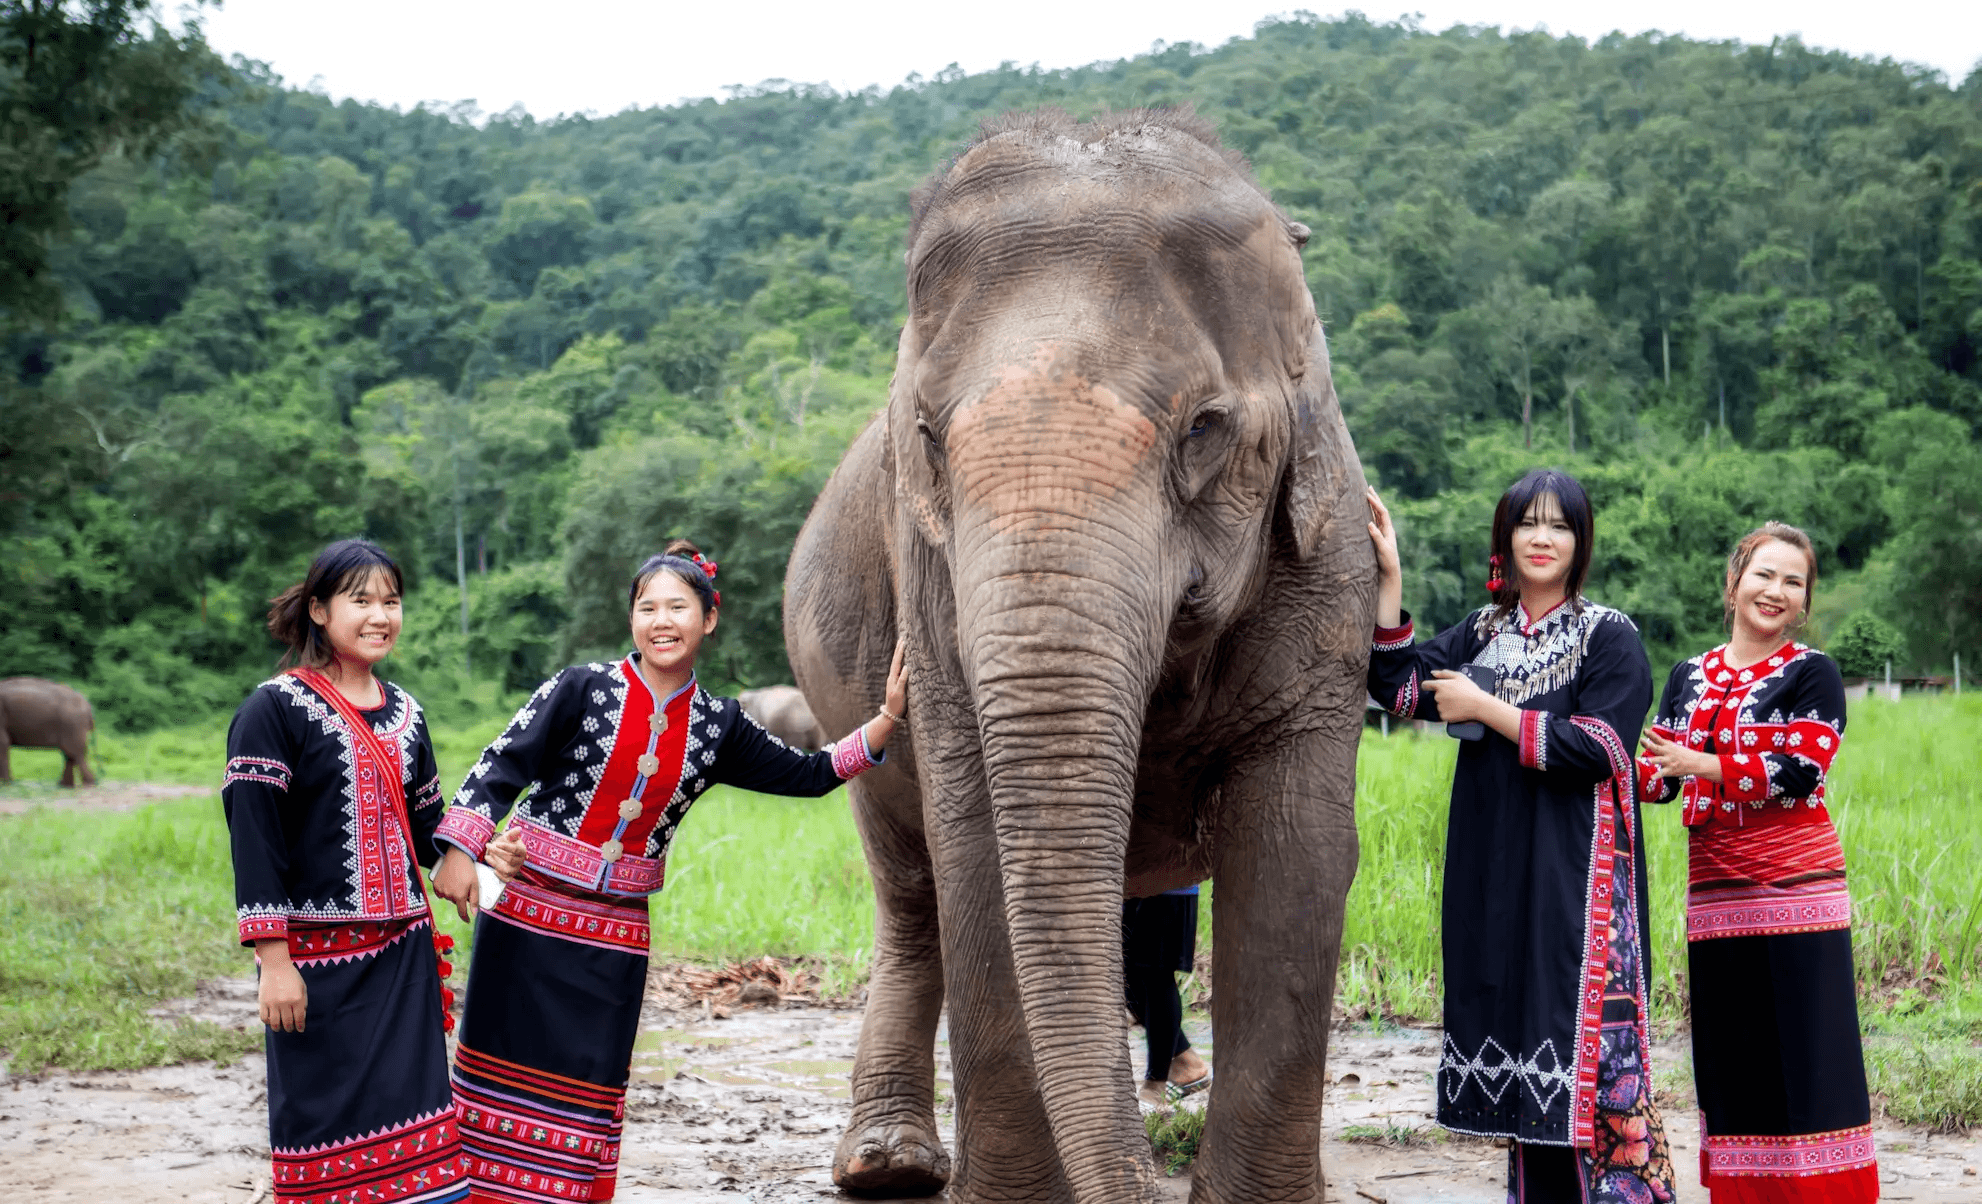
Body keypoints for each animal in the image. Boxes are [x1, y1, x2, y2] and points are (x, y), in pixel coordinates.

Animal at [784, 110, 1374, 1204]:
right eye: (924, 434)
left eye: (1203, 429)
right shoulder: (928, 578)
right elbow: (974, 847)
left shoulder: (1329, 558)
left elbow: (1296, 855)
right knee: (912, 893)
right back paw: (886, 1165)